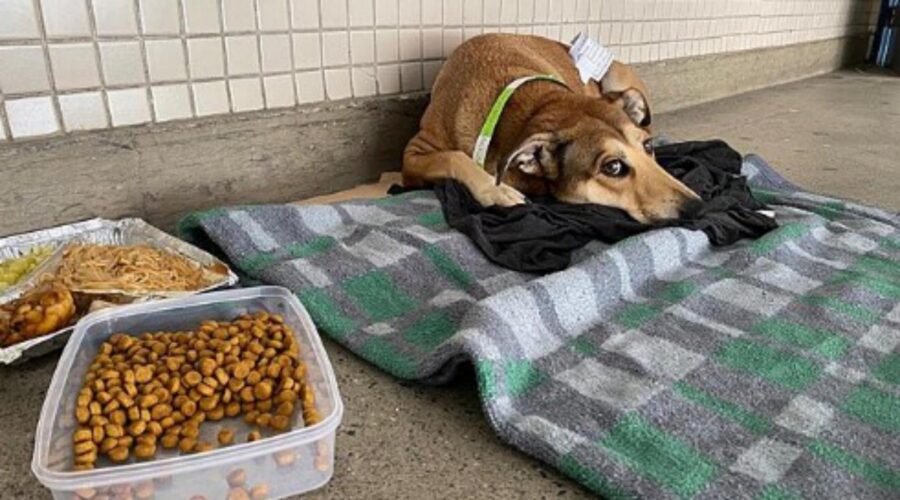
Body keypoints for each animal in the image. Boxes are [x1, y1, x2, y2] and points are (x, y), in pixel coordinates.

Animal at [402, 33, 704, 223]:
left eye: (648, 147)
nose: (698, 206)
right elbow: (454, 157)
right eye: (613, 167)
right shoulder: (413, 154)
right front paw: (496, 190)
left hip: (617, 76)